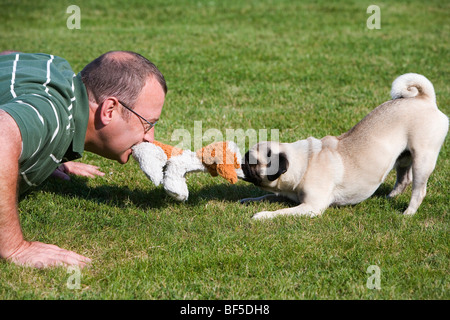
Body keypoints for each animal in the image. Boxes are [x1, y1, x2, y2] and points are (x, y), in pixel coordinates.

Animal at [241, 73, 448, 219]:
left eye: (251, 161)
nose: (240, 163)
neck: (304, 162)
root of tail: (425, 100)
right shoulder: (285, 194)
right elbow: (265, 196)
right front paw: (249, 199)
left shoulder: (311, 207)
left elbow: (281, 213)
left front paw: (262, 215)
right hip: (403, 158)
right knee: (403, 179)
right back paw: (391, 197)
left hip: (423, 159)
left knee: (418, 190)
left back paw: (408, 213)